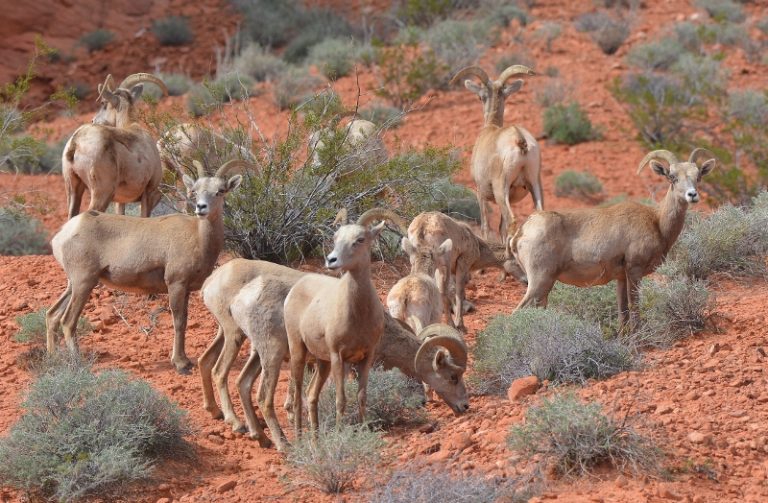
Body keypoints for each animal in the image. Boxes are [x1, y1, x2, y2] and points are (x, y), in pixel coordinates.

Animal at [45, 159, 247, 373]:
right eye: (195, 191)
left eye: (220, 191)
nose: (201, 208)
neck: (199, 237)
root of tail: (64, 233)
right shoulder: (176, 284)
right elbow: (179, 322)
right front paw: (180, 364)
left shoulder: (185, 290)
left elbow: (184, 321)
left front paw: (184, 360)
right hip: (84, 283)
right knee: (68, 321)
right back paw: (78, 363)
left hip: (74, 285)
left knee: (52, 316)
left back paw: (53, 359)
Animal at [199, 258, 469, 451]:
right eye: (453, 376)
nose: (464, 406)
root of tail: (238, 299)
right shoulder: (344, 363)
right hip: (265, 351)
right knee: (255, 392)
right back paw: (279, 443)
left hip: (256, 353)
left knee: (240, 382)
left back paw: (260, 437)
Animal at [450, 65, 543, 245]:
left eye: (480, 97)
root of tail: (520, 139)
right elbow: (501, 228)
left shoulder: (480, 192)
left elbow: (486, 226)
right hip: (534, 184)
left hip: (501, 188)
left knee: (512, 221)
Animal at [509, 148, 716, 329]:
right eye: (672, 177)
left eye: (698, 176)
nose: (692, 195)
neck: (657, 222)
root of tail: (521, 233)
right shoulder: (634, 270)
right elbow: (634, 308)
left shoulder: (621, 278)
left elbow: (623, 312)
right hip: (540, 281)